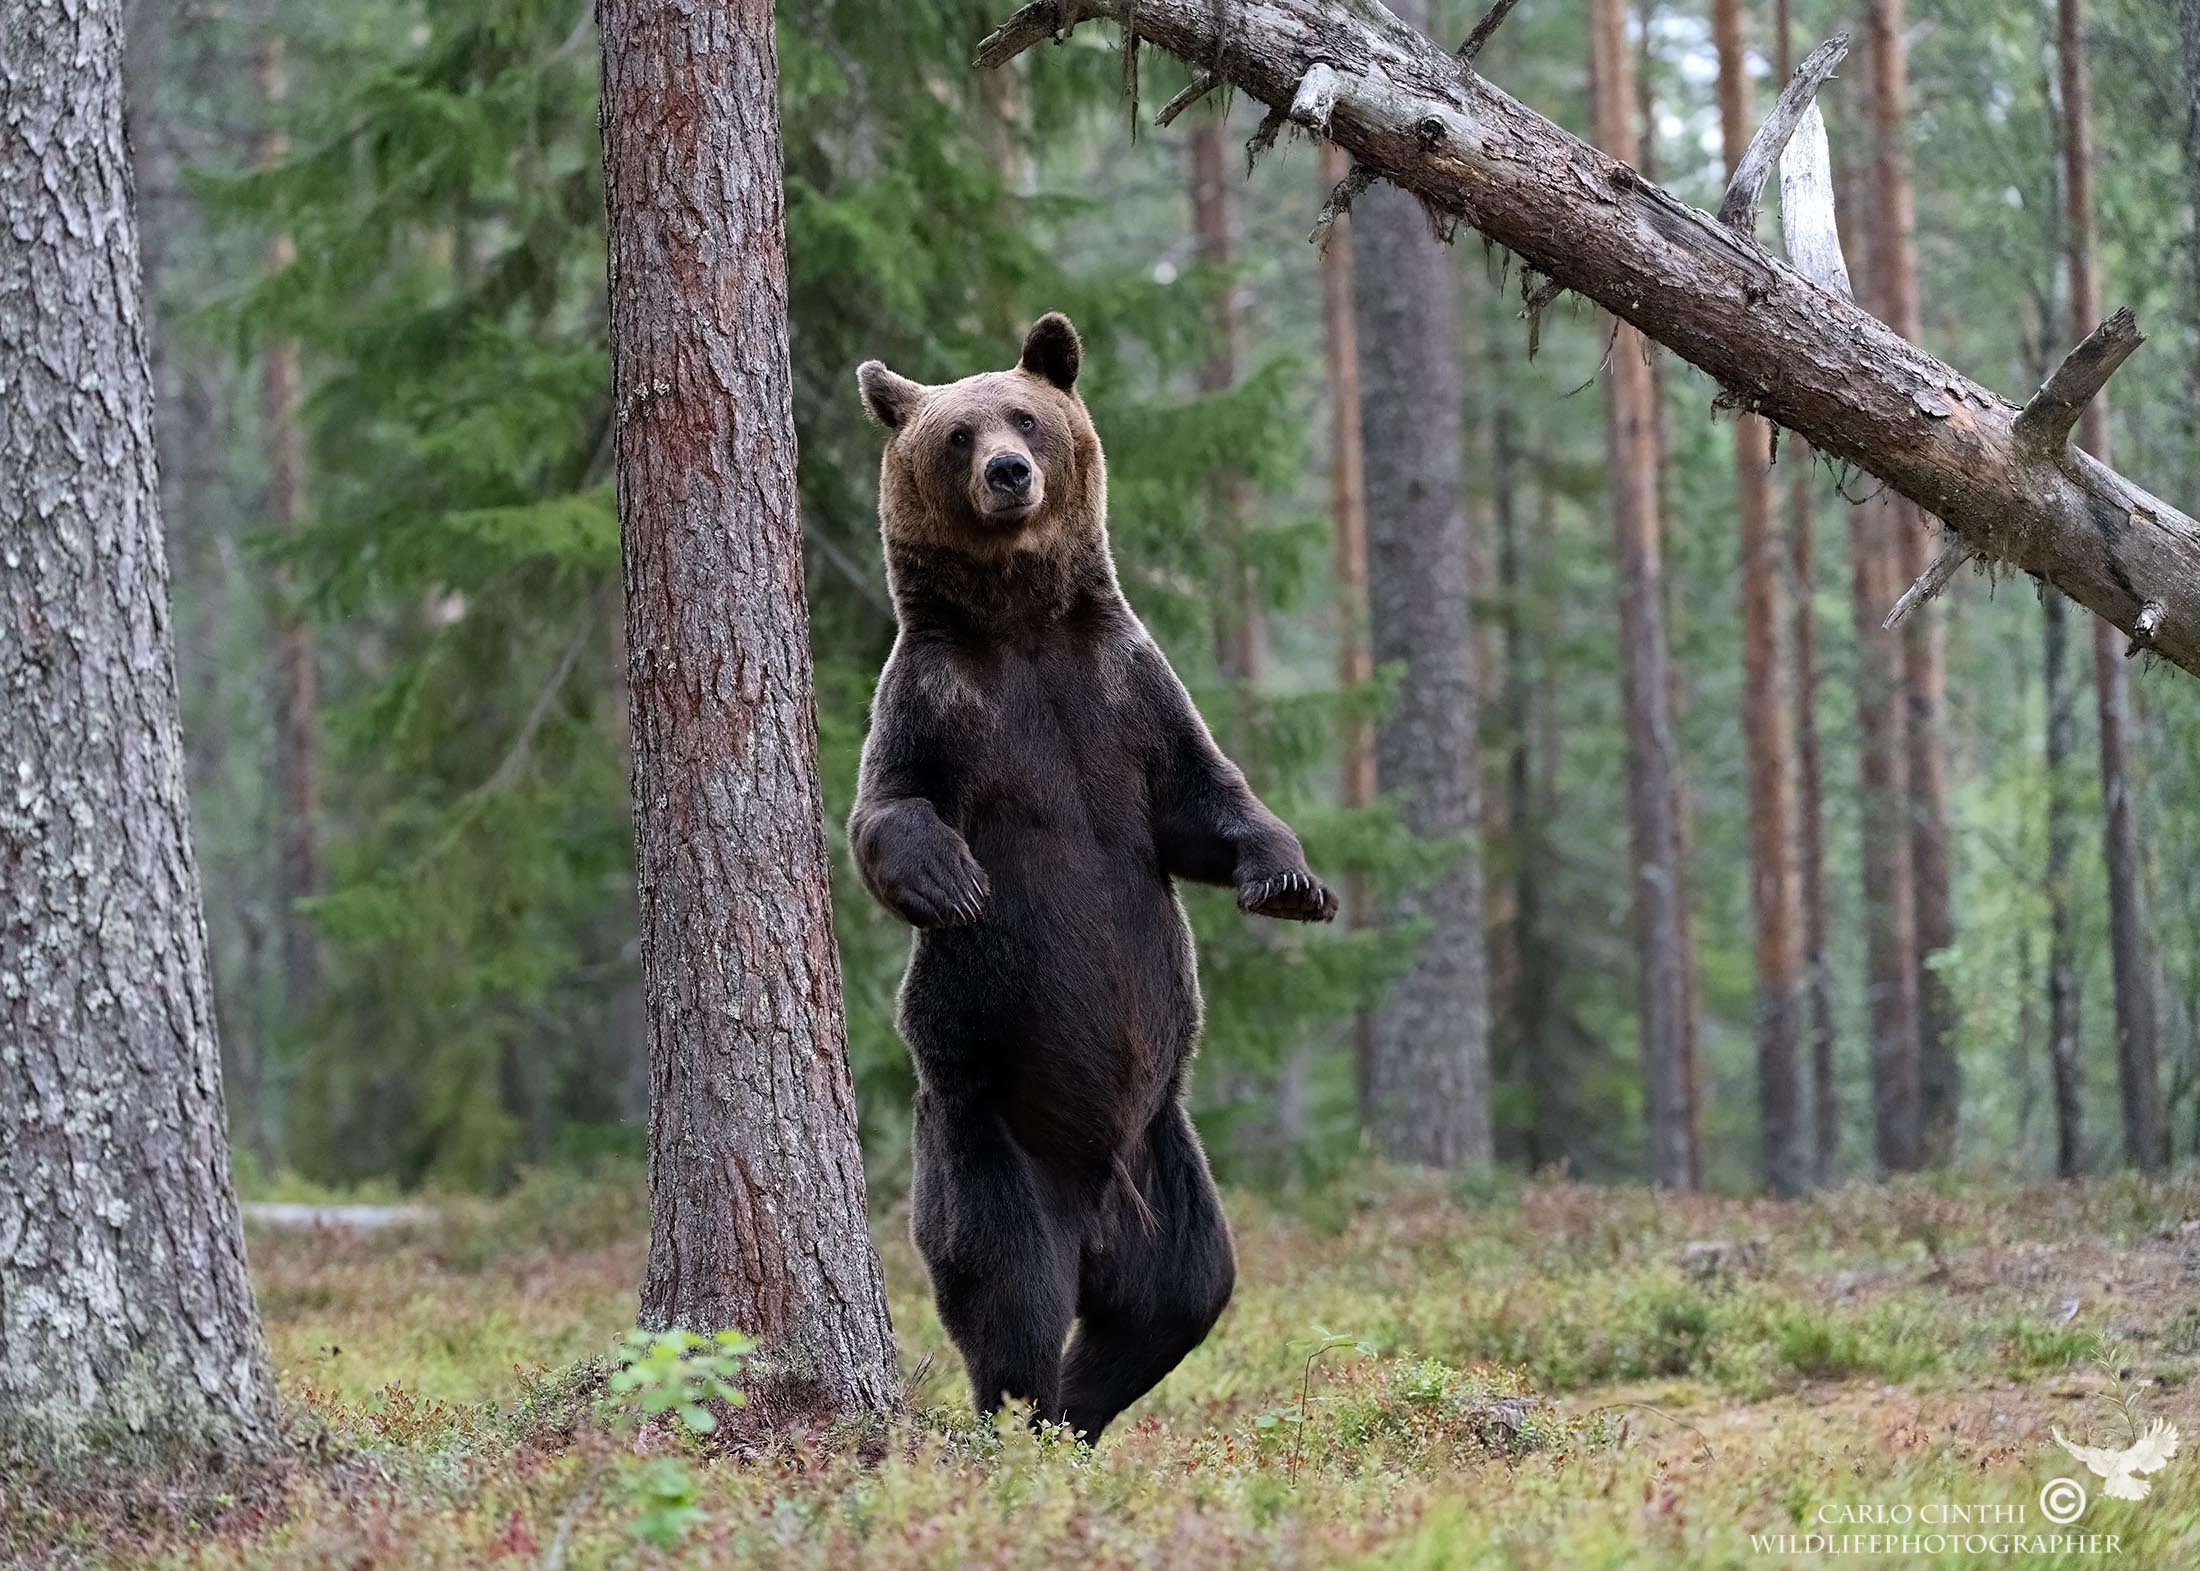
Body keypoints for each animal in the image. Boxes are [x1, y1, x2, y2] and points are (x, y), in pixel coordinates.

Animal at [849, 313, 1338, 1442]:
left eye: (1025, 414)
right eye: (956, 432)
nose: (1009, 471)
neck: (1024, 623)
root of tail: (1095, 1218)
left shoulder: (1125, 689)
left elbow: (1205, 802)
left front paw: (1293, 884)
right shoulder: (937, 696)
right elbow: (889, 806)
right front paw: (951, 883)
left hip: (1167, 1162)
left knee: (1181, 1297)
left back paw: (1078, 1410)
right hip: (988, 1136)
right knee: (1009, 1297)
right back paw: (1023, 1412)